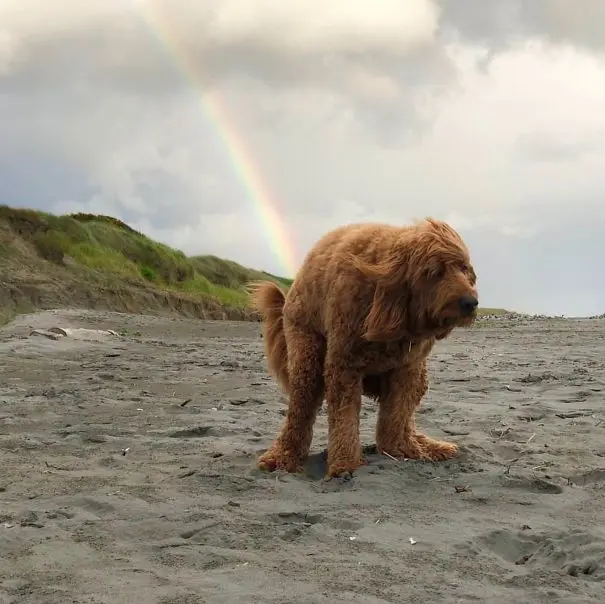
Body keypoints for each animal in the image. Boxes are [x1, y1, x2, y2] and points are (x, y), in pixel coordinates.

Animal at [249, 219, 476, 478]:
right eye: (434, 272)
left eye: (464, 268)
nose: (471, 303)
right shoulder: (344, 365)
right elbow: (344, 416)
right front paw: (344, 465)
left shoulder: (407, 367)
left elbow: (397, 413)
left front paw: (399, 448)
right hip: (306, 347)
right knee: (301, 405)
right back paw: (282, 457)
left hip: (419, 375)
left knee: (407, 414)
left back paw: (422, 445)